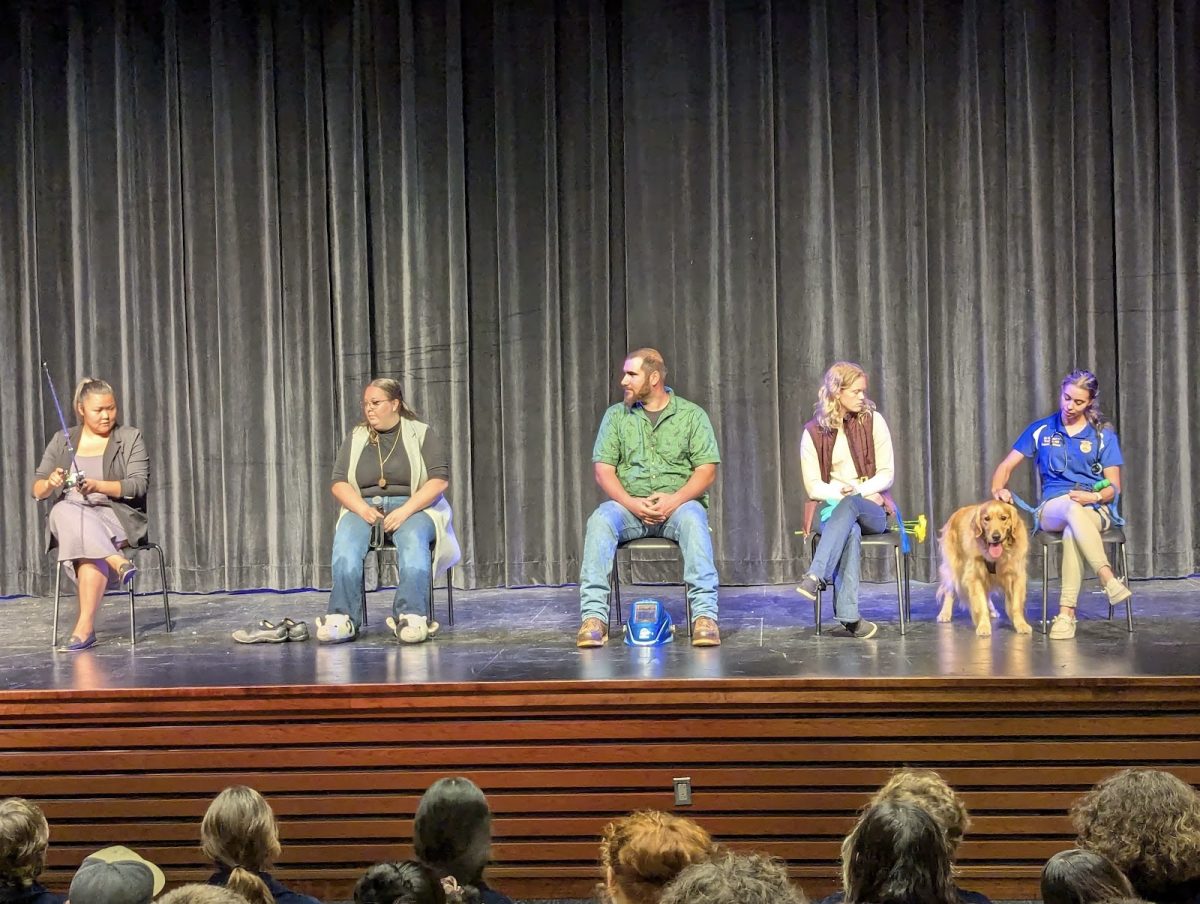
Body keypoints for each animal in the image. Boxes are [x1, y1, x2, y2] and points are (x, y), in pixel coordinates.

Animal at [936, 501, 1032, 633]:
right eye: (986, 519)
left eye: (1003, 518)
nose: (996, 536)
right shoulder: (974, 577)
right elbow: (980, 604)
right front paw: (983, 626)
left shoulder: (1016, 575)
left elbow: (1016, 605)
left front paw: (1021, 624)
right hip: (953, 568)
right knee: (950, 590)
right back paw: (944, 613)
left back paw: (992, 610)